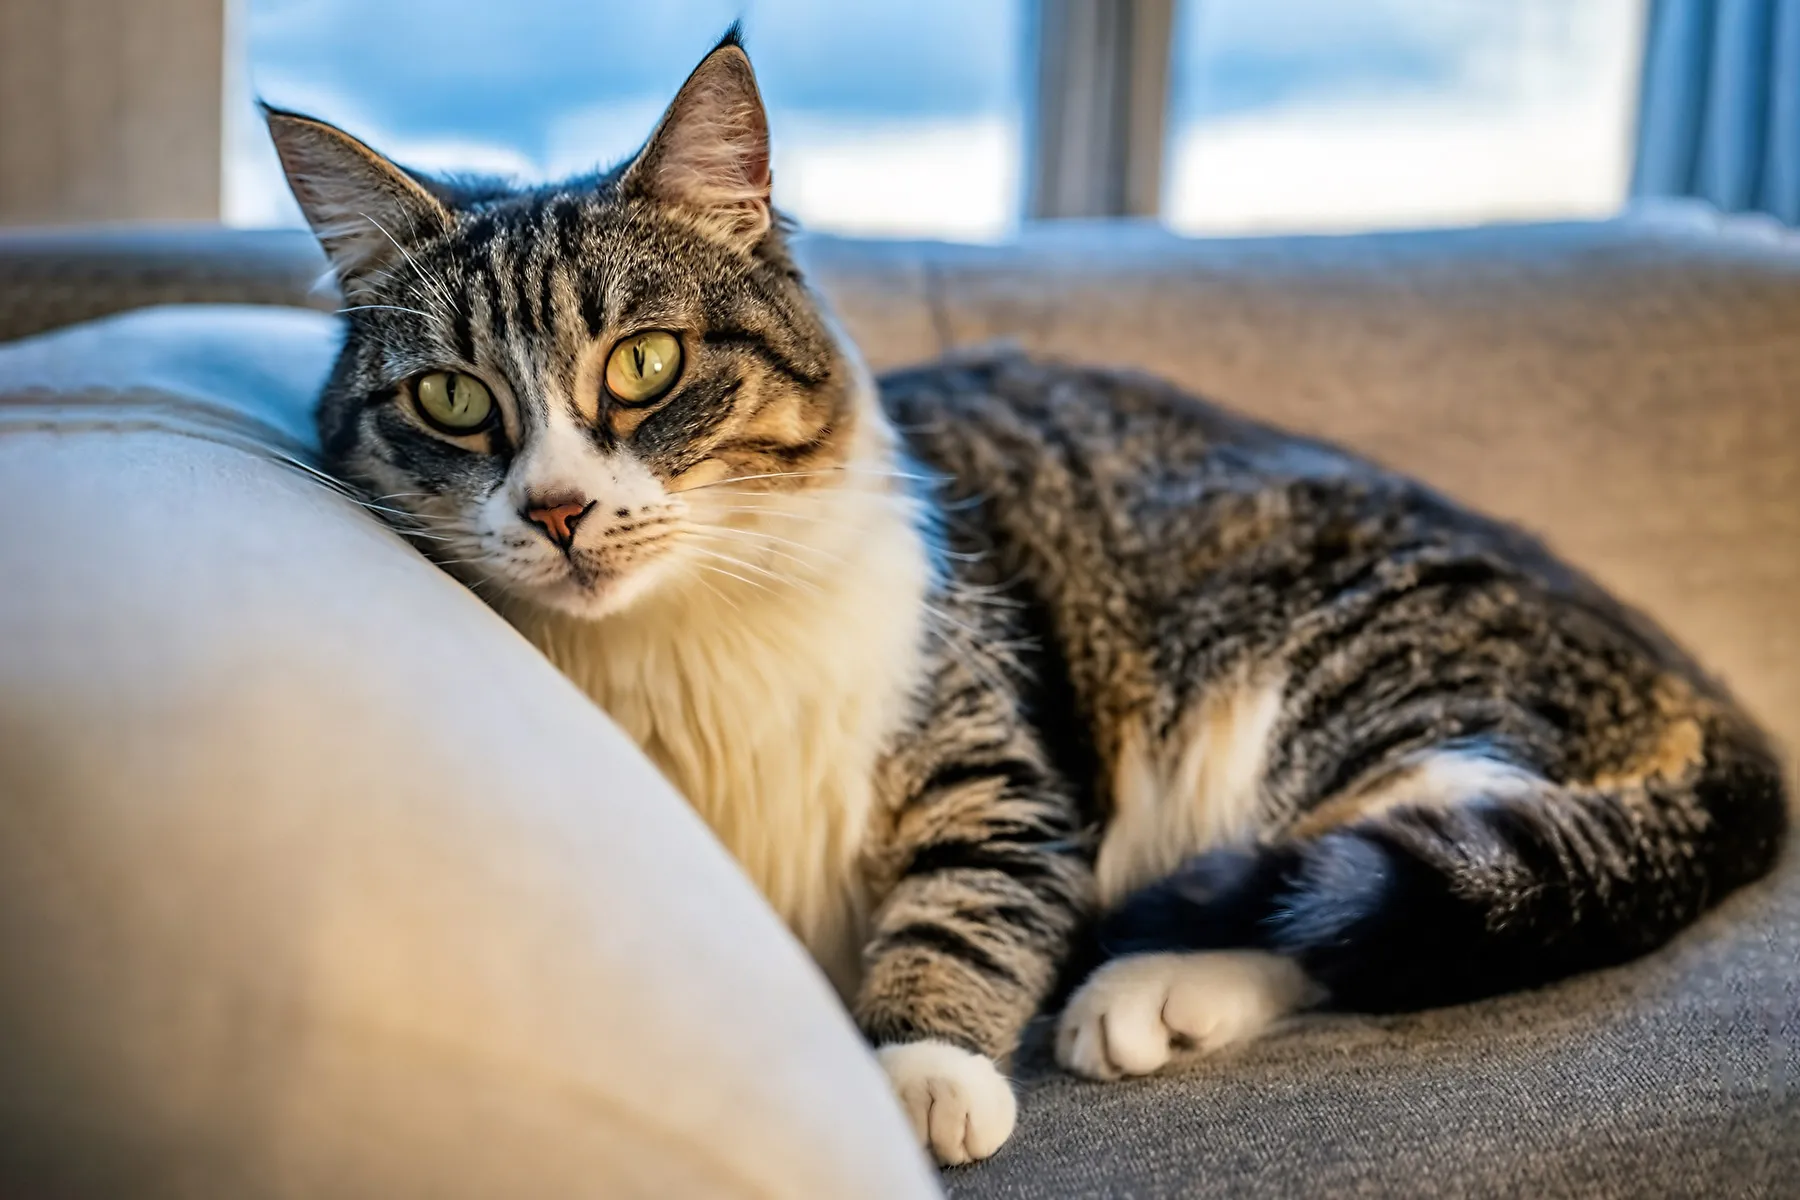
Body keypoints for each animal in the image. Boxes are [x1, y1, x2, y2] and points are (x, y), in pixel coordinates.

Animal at [266, 30, 1785, 1173]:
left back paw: (1146, 986)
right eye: (453, 399)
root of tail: (1716, 701)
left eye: (644, 364)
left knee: (1383, 877)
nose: (559, 510)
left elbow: (970, 893)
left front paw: (918, 1068)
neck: (681, 638)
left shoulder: (998, 745)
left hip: (1341, 685)